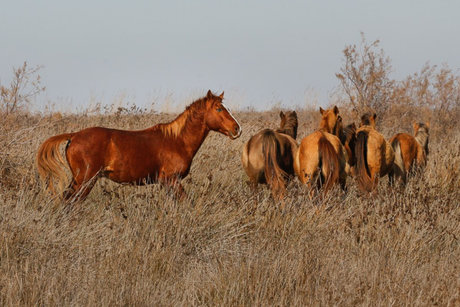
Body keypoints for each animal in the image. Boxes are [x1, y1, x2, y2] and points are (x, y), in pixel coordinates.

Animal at [37, 90, 243, 201]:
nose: (237, 129)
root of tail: (74, 136)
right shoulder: (171, 181)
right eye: (219, 109)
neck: (177, 140)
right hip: (85, 180)